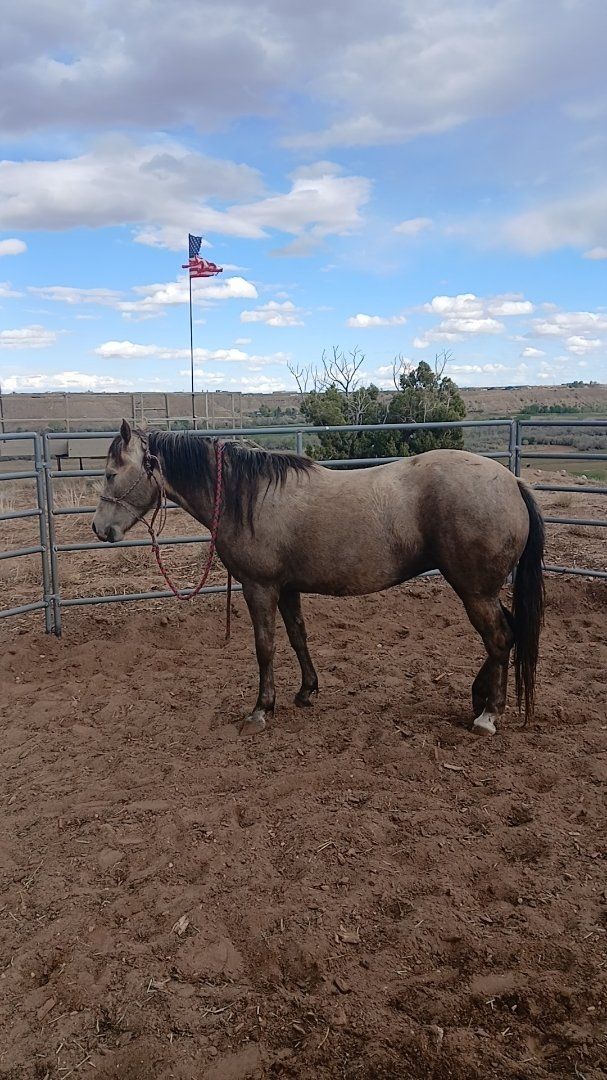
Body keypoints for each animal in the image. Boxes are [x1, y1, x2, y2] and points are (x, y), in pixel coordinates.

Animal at [92, 421, 545, 738]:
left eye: (112, 473)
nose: (100, 529)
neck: (248, 497)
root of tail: (512, 481)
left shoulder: (260, 588)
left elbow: (265, 647)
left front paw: (261, 709)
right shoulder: (287, 588)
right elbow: (298, 637)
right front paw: (306, 690)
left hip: (474, 589)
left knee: (499, 637)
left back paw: (488, 714)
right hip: (480, 590)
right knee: (506, 635)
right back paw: (479, 696)